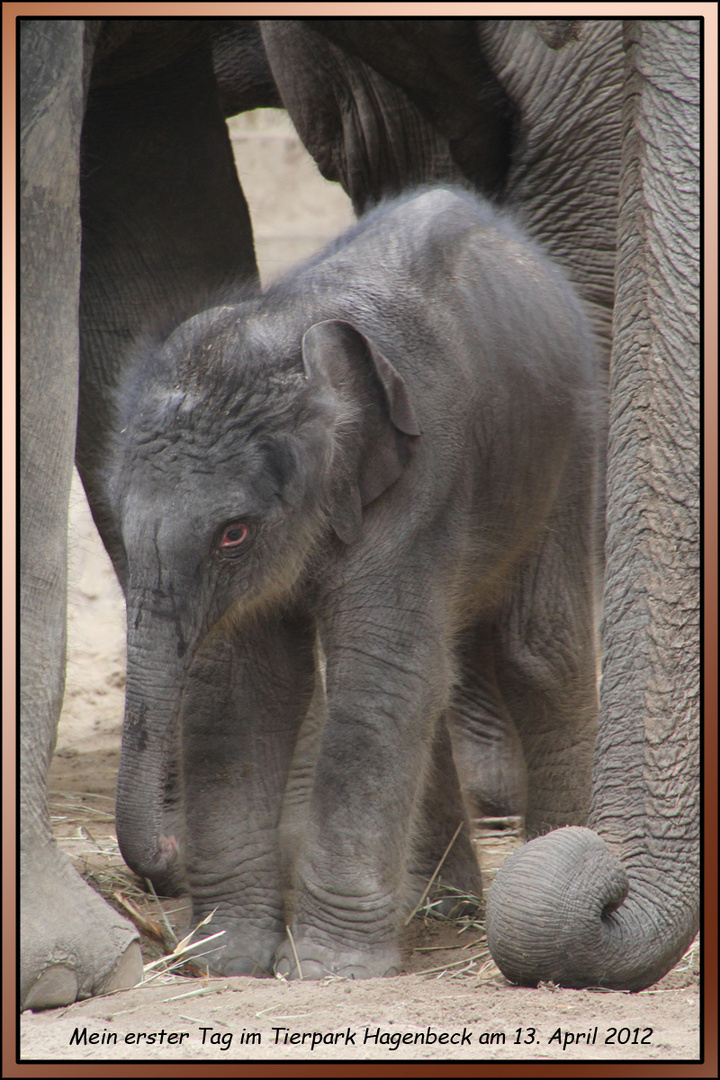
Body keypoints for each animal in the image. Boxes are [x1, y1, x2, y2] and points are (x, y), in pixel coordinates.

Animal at [105, 185, 604, 980]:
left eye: (232, 533)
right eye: (120, 523)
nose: (167, 852)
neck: (293, 331)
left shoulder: (425, 476)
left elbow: (378, 678)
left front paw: (324, 969)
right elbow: (241, 689)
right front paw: (227, 957)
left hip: (566, 443)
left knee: (536, 653)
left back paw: (550, 865)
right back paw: (441, 905)